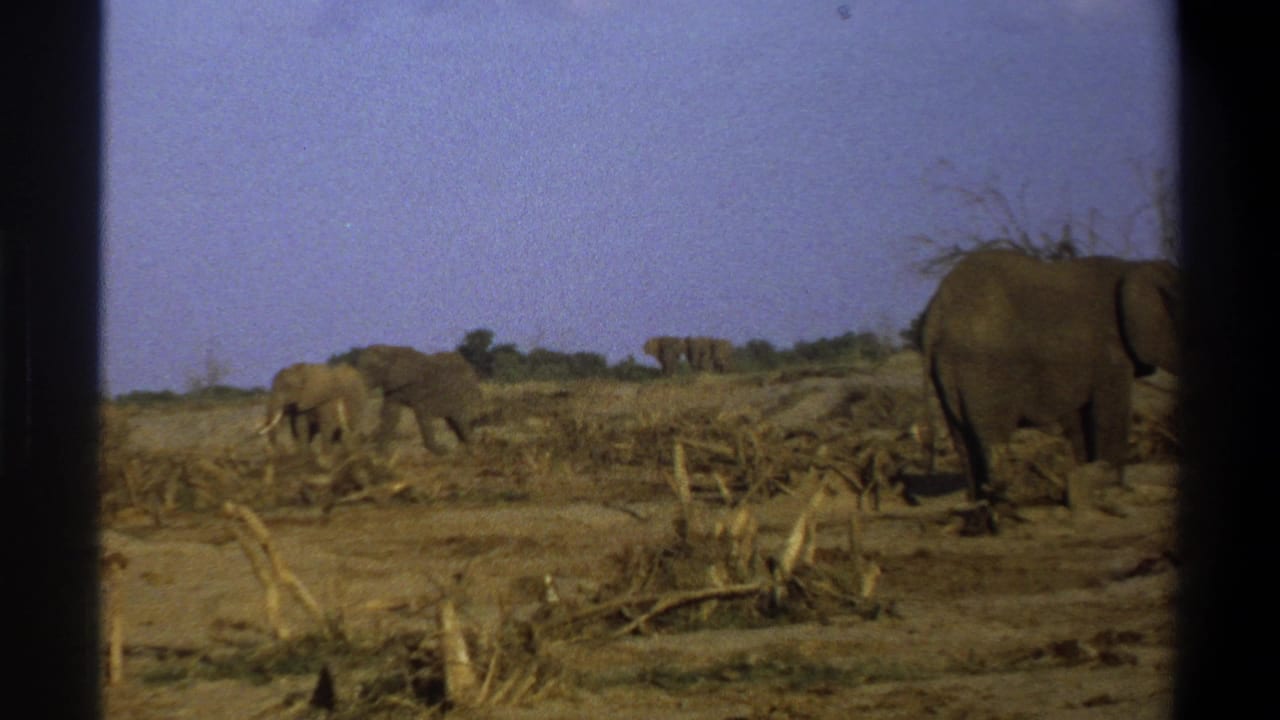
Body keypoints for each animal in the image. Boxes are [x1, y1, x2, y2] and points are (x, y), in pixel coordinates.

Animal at [355, 345, 483, 454]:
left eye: (370, 371)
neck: (392, 350)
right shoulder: (393, 388)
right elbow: (390, 414)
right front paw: (380, 454)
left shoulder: (421, 389)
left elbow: (423, 415)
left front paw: (442, 451)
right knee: (454, 423)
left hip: (464, 395)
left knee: (461, 420)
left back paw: (472, 448)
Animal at [921, 250, 1180, 503]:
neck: (1137, 266)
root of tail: (935, 314)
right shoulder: (1110, 354)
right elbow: (1110, 416)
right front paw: (1113, 489)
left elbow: (1080, 421)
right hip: (982, 368)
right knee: (993, 438)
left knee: (964, 442)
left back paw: (982, 502)